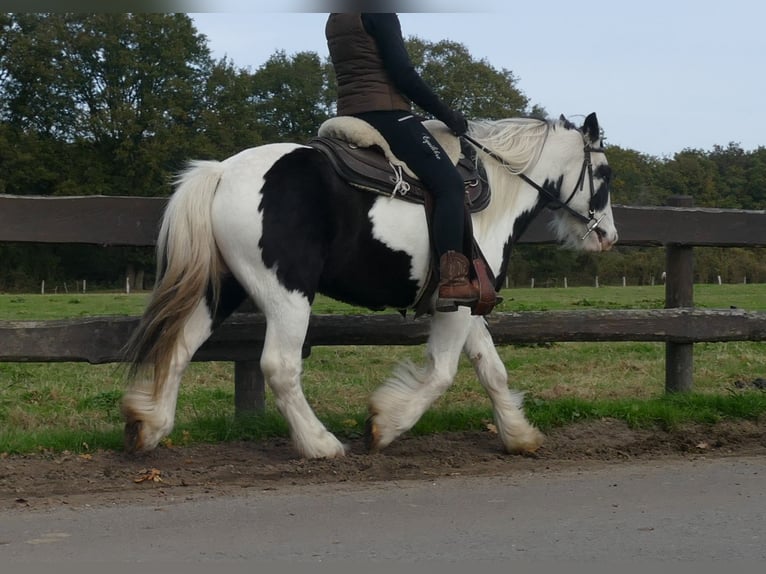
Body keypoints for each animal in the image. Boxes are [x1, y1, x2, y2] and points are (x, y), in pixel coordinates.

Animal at [123, 113, 620, 460]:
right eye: (605, 175)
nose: (609, 236)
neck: (493, 195)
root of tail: (222, 172)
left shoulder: (464, 302)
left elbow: (491, 369)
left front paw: (518, 435)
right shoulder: (457, 308)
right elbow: (442, 373)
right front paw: (385, 424)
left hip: (223, 289)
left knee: (180, 346)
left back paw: (150, 426)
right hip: (287, 294)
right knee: (279, 367)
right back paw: (320, 444)